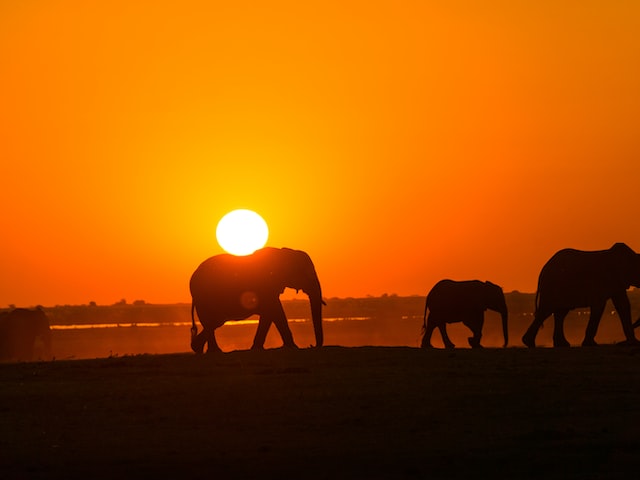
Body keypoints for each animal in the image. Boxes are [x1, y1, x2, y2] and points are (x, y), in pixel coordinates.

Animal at [188, 248, 322, 352]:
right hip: (204, 298)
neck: (284, 253)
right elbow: (275, 311)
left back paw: (198, 348)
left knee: (214, 322)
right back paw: (214, 351)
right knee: (212, 322)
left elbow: (270, 314)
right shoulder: (265, 286)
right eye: (307, 273)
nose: (312, 345)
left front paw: (257, 348)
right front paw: (293, 347)